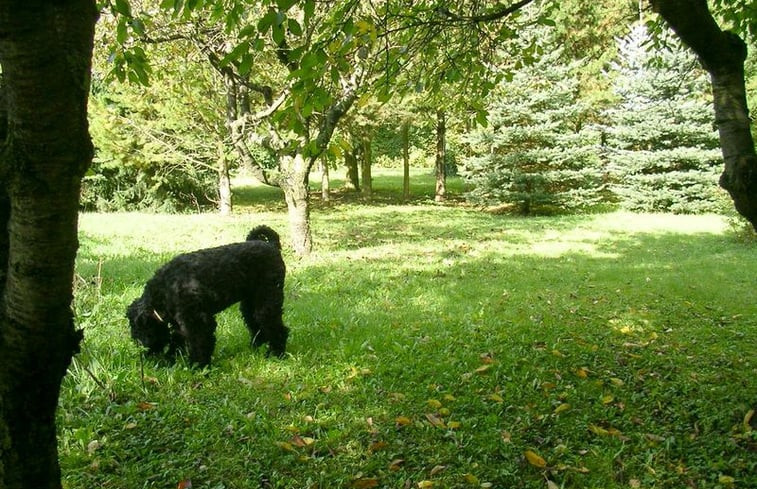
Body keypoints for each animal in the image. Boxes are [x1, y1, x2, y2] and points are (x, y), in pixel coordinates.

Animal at [127, 225, 286, 366]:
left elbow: (198, 343)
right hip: (249, 304)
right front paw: (170, 360)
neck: (165, 288)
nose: (145, 354)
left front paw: (198, 366)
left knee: (278, 329)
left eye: (138, 329)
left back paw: (276, 354)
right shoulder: (181, 322)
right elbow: (178, 341)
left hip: (267, 302)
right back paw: (256, 348)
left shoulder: (197, 321)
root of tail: (271, 246)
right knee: (256, 326)